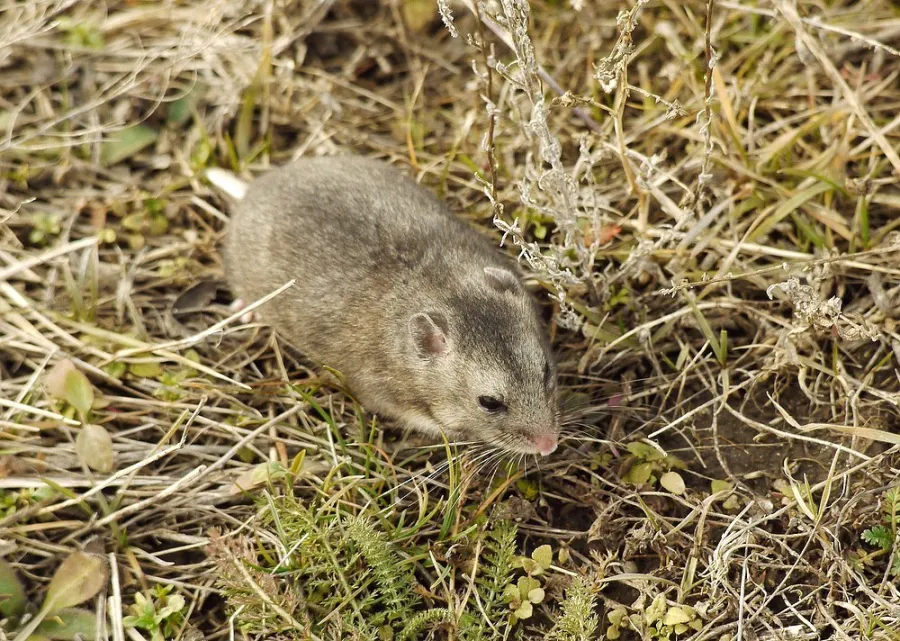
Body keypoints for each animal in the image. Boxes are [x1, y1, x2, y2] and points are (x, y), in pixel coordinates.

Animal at [211, 155, 559, 456]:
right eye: (489, 402)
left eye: (546, 371)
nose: (550, 446)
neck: (440, 289)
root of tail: (253, 189)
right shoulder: (384, 396)